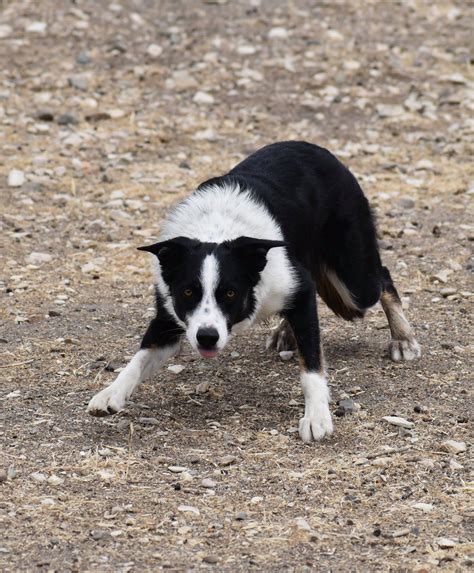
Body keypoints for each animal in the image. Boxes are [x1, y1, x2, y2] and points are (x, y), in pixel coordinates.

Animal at [87, 141, 420, 440]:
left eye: (230, 293)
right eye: (188, 293)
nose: (207, 337)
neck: (217, 228)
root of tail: (321, 150)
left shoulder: (296, 286)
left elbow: (312, 364)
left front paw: (316, 416)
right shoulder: (169, 319)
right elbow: (139, 358)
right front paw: (110, 393)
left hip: (354, 283)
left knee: (383, 279)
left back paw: (402, 338)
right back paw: (286, 331)